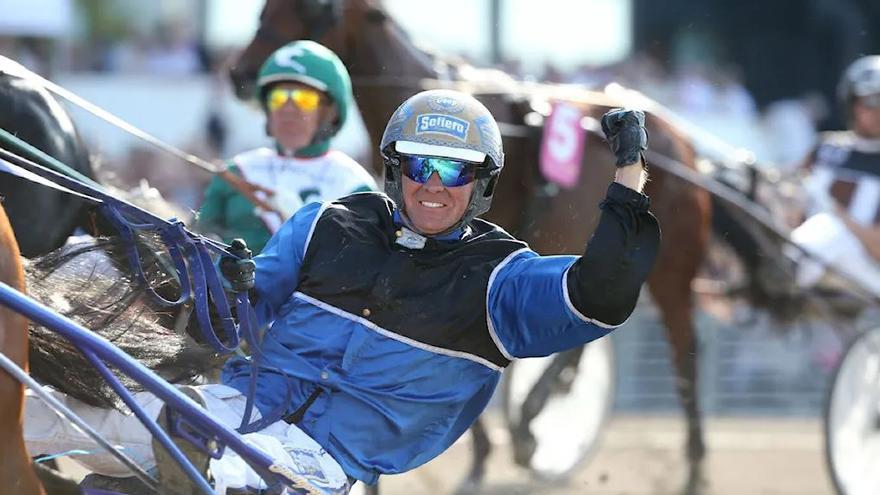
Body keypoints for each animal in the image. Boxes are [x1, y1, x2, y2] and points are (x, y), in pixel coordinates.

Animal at [229, 1, 716, 494]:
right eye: (265, 8)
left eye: (315, 10)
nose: (241, 73)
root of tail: (684, 144)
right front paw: (485, 453)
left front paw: (484, 457)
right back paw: (535, 418)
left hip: (673, 266)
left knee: (684, 350)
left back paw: (691, 465)